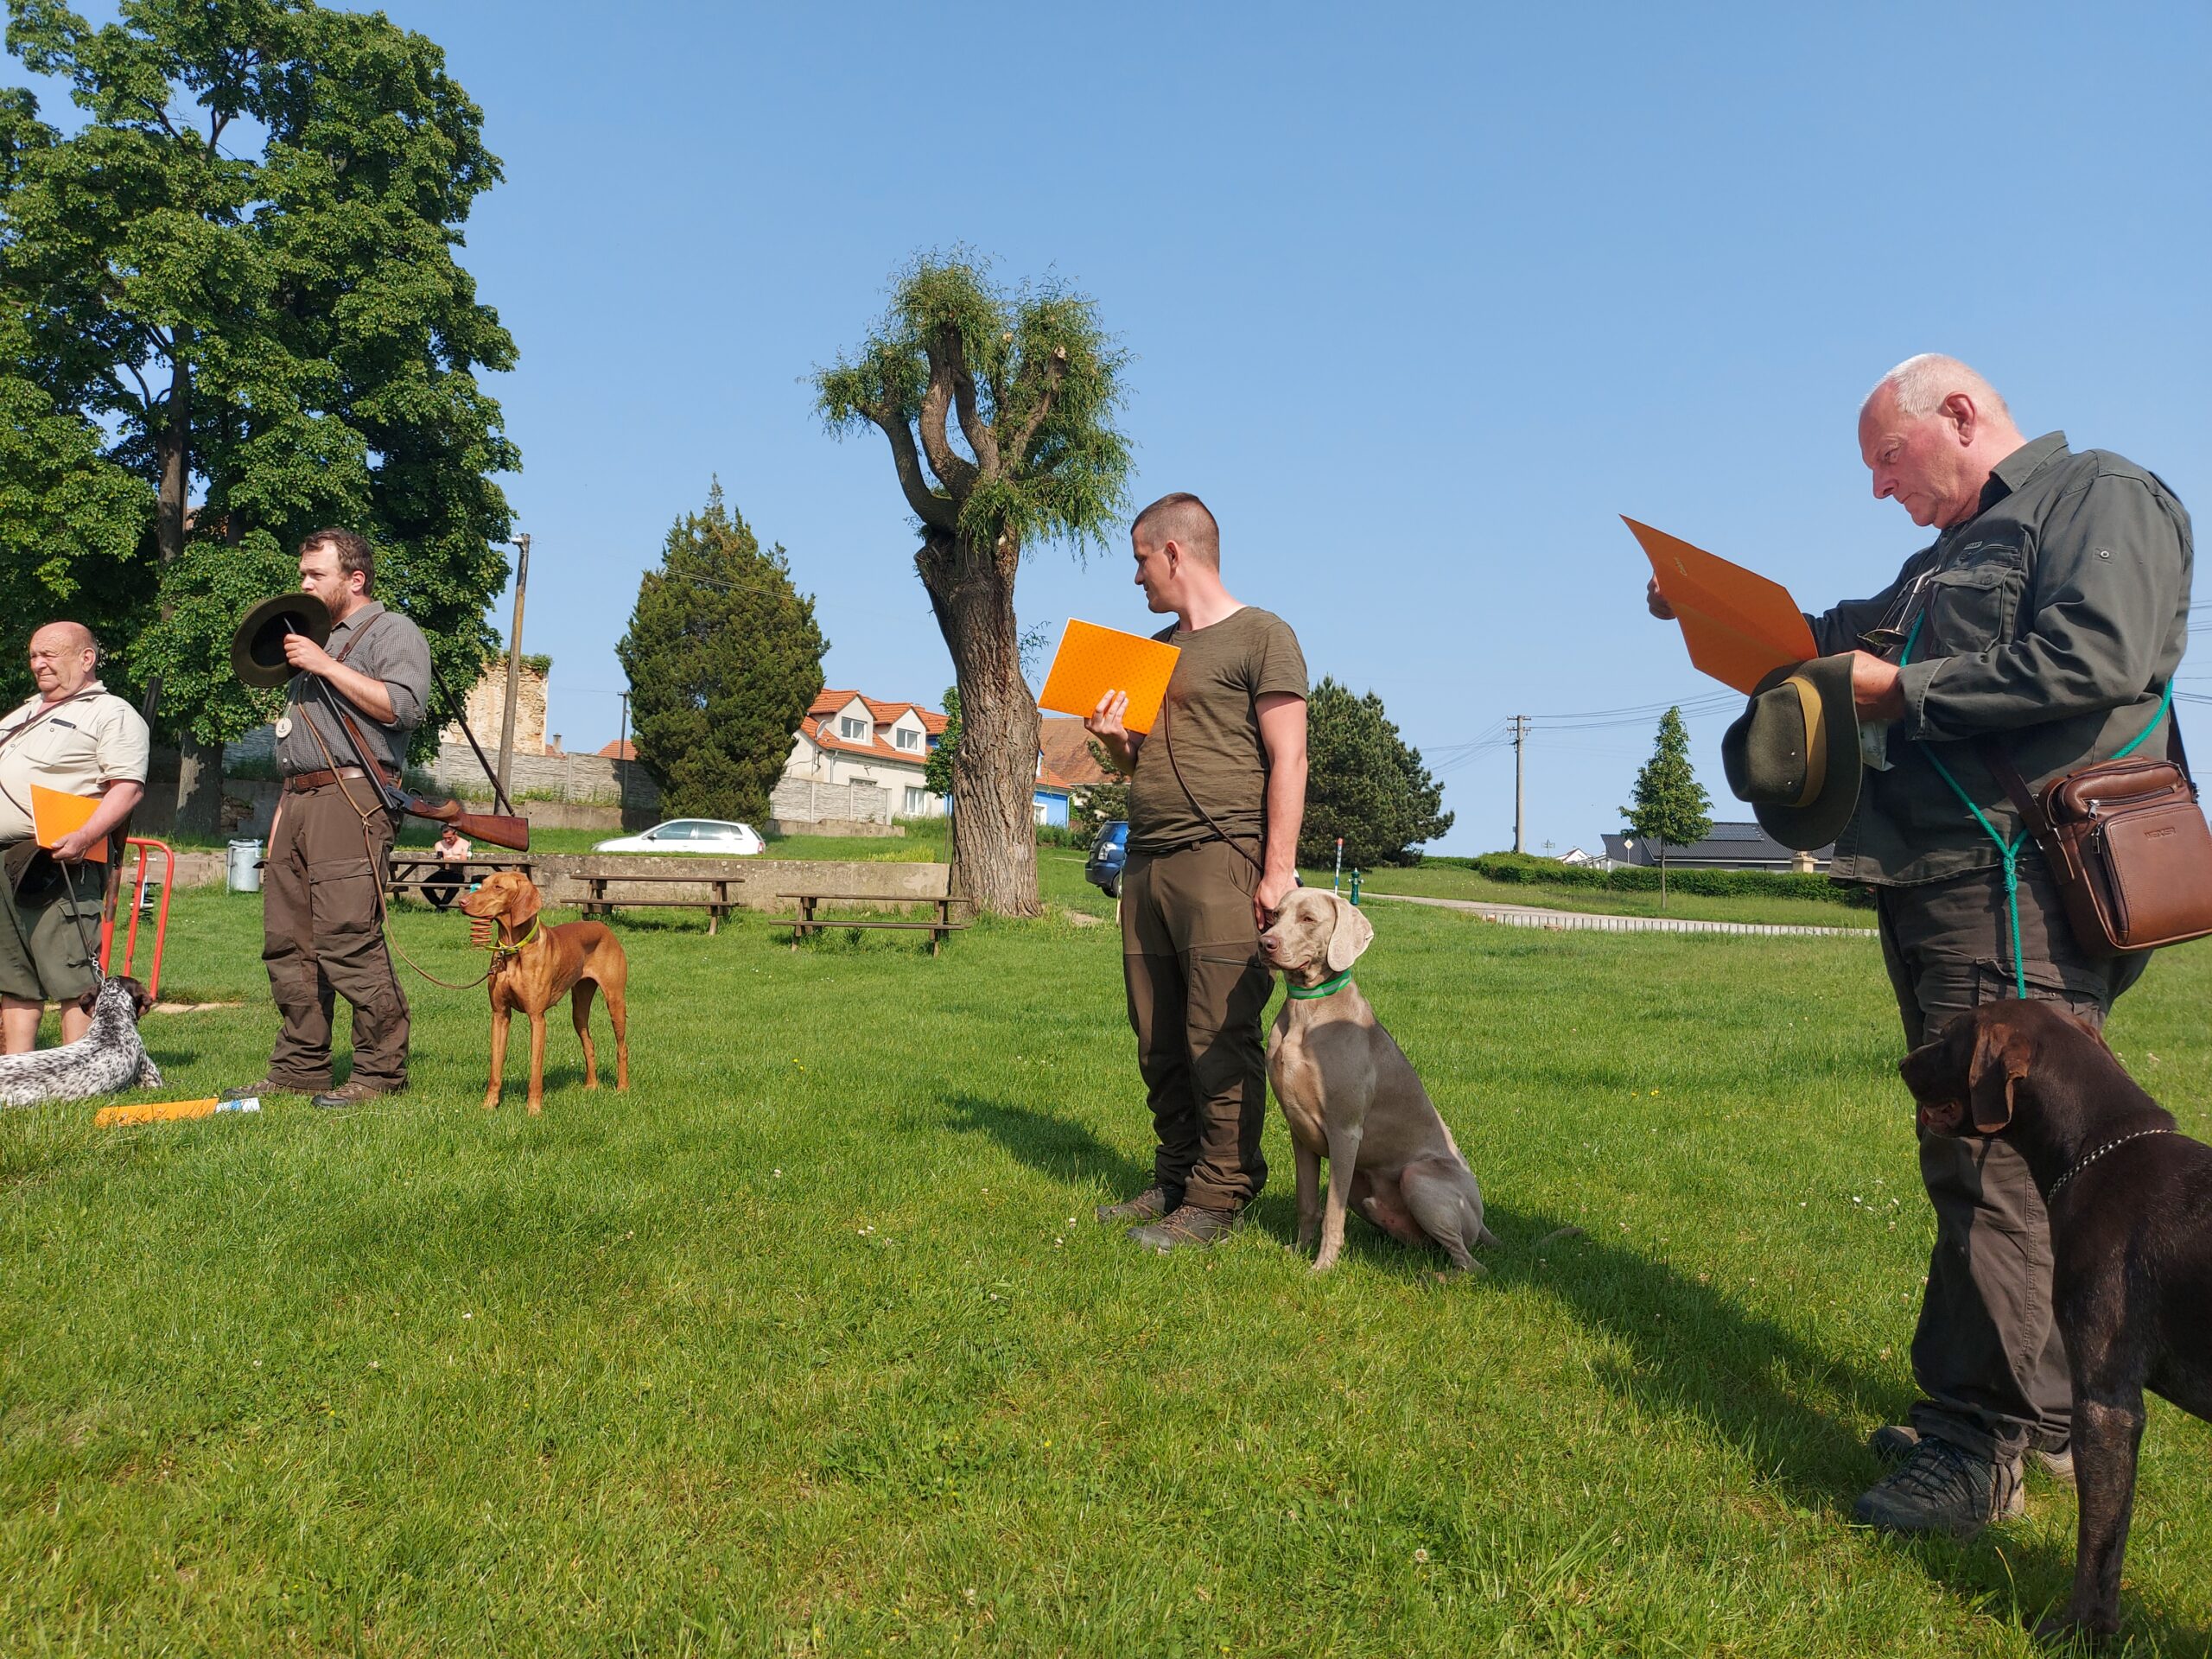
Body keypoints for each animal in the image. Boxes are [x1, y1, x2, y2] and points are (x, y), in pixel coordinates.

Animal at [457, 871, 628, 1119]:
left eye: (498, 887)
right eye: (483, 884)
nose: (462, 902)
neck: (514, 949)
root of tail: (601, 925)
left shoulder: (537, 1018)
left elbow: (535, 1069)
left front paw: (534, 1109)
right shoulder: (499, 1015)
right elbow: (495, 1067)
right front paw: (489, 1105)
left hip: (615, 1001)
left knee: (622, 1047)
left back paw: (622, 1088)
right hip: (579, 1009)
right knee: (589, 1043)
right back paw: (591, 1086)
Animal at [1265, 898, 1503, 1274]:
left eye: (1308, 919)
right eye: (1275, 914)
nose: (1266, 943)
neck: (1309, 1010)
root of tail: (1482, 1222)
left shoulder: (1345, 1132)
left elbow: (1332, 1212)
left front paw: (1323, 1266)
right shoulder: (1299, 1131)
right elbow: (1307, 1201)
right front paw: (1299, 1249)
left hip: (1418, 1177)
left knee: (1471, 1262)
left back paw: (1443, 1277)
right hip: (1364, 1192)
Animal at [1902, 1000, 2212, 1654]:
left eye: (1951, 1037)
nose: (1903, 1061)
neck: (2101, 1150)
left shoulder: (2107, 1403)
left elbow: (2099, 1544)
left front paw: (2079, 1631)